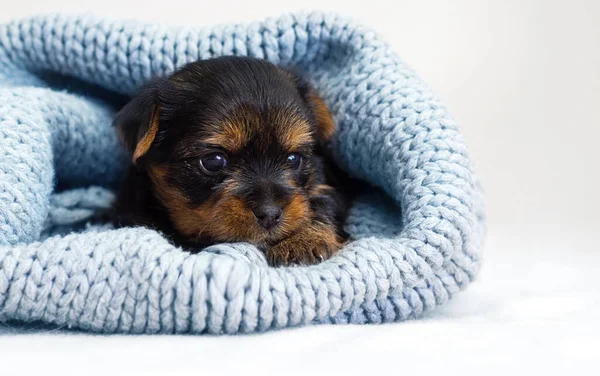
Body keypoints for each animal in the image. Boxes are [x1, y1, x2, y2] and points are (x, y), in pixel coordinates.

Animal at [112, 56, 350, 268]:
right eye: (214, 161)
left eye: (294, 159)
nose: (270, 213)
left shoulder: (324, 184)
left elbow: (321, 202)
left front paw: (303, 240)